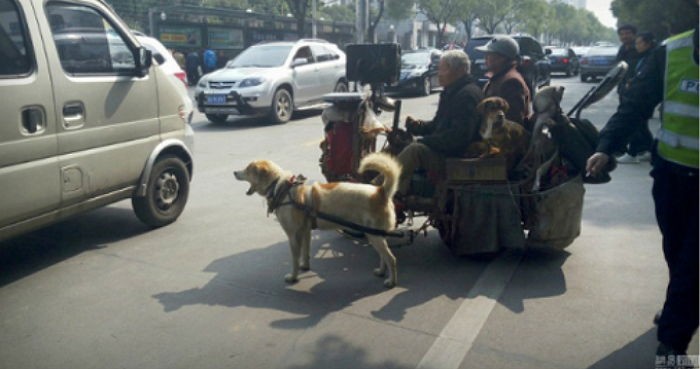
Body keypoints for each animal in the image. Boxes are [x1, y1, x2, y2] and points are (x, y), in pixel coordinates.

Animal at [234, 152, 402, 288]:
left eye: (248, 169)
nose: (234, 172)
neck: (281, 187)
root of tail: (381, 192)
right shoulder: (305, 232)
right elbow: (305, 252)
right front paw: (305, 267)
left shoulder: (293, 235)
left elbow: (295, 259)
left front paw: (293, 277)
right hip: (375, 235)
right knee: (383, 256)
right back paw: (381, 271)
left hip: (374, 235)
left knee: (391, 258)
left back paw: (391, 281)